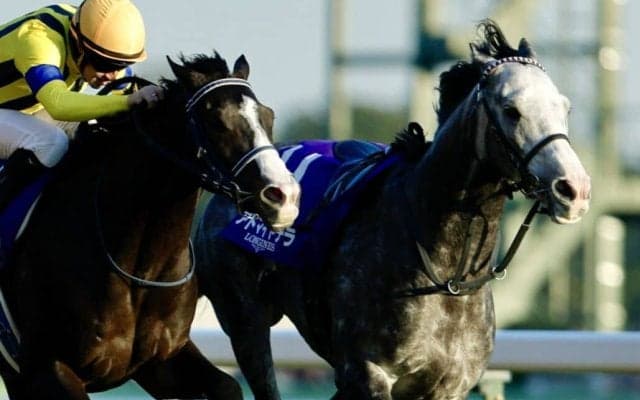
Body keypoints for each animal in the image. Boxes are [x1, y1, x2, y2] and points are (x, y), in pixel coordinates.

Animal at [0, 52, 300, 399]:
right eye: (216, 120)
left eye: (268, 116)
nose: (284, 196)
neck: (140, 269)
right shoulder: (50, 367)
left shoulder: (158, 361)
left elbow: (226, 385)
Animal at [194, 21, 591, 400]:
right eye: (512, 110)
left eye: (564, 108)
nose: (574, 188)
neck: (447, 275)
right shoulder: (368, 374)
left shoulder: (449, 385)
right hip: (246, 321)